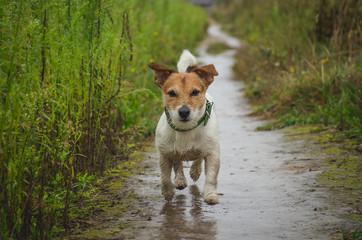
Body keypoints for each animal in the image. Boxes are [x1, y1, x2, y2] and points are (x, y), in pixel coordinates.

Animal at [148, 50, 221, 204]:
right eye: (172, 93)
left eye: (195, 92)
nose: (183, 112)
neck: (185, 129)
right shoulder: (164, 154)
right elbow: (165, 177)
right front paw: (168, 191)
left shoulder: (213, 153)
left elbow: (211, 177)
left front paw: (210, 194)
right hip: (173, 151)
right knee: (178, 164)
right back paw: (180, 180)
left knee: (198, 158)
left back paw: (195, 171)